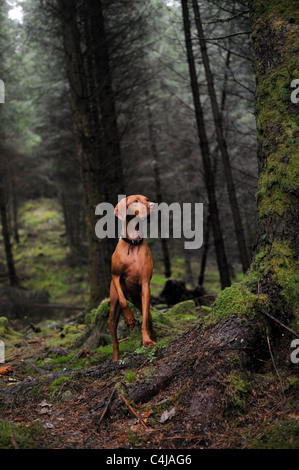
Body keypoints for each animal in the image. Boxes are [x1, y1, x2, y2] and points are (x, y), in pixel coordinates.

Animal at [110, 195, 157, 360]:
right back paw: (115, 358)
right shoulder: (115, 276)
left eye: (147, 199)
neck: (134, 242)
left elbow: (144, 323)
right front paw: (129, 319)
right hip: (113, 310)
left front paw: (147, 341)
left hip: (140, 300)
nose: (154, 205)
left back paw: (153, 337)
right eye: (135, 201)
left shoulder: (145, 285)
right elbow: (124, 302)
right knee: (115, 341)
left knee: (148, 318)